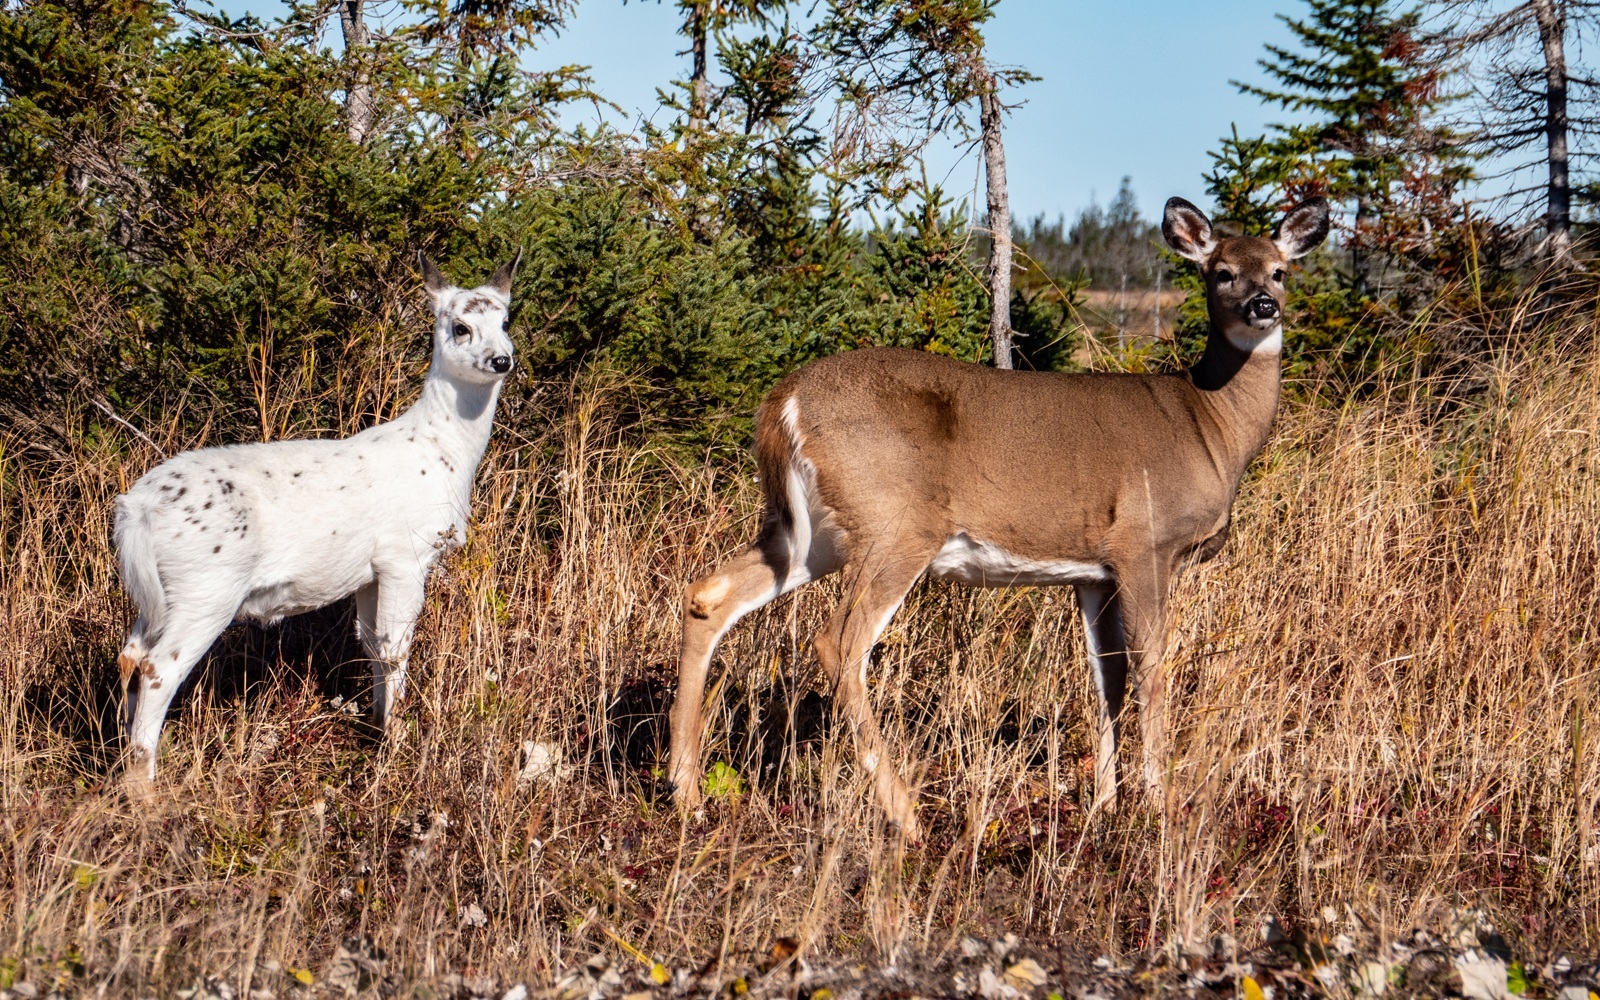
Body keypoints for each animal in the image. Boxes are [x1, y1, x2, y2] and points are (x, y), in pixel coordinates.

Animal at [112, 253, 518, 789]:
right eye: (461, 326)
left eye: (506, 321)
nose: (501, 360)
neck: (443, 452)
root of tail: (136, 509)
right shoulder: (405, 553)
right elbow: (396, 648)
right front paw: (395, 745)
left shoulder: (371, 571)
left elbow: (372, 645)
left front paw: (378, 728)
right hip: (207, 587)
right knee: (159, 669)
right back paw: (146, 787)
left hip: (157, 594)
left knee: (130, 655)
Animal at [665, 196, 1330, 839]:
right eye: (1221, 271)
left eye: (1280, 269)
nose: (1264, 305)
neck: (1210, 426)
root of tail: (785, 403)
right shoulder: (1146, 544)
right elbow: (1152, 668)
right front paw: (1158, 805)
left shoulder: (1094, 573)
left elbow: (1107, 676)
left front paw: (1105, 805)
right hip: (897, 524)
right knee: (838, 643)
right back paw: (905, 815)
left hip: (815, 533)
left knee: (708, 594)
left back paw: (687, 795)